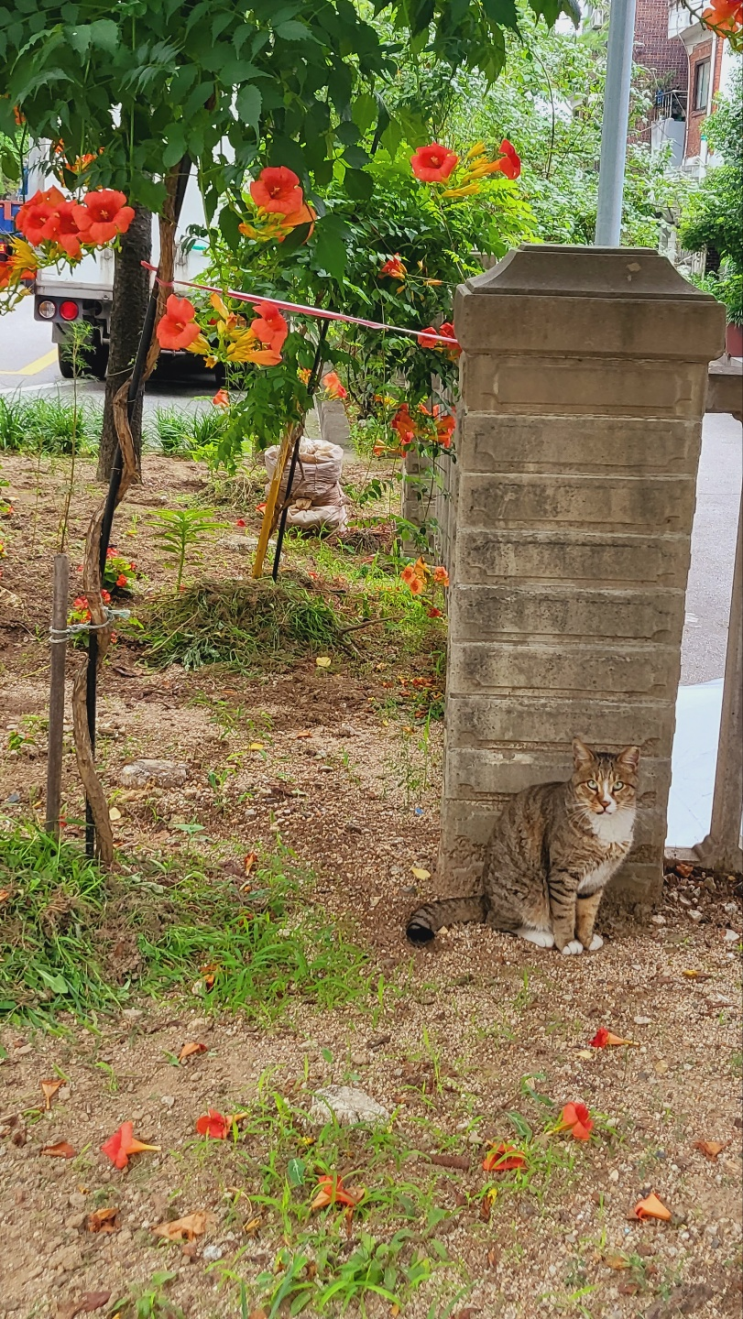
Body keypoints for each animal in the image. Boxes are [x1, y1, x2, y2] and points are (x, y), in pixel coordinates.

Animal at [406, 738, 638, 954]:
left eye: (618, 786)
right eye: (592, 784)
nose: (605, 803)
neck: (608, 826)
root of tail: (486, 899)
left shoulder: (596, 880)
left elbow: (587, 913)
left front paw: (586, 940)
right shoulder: (563, 875)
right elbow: (564, 914)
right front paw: (567, 943)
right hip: (526, 893)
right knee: (497, 921)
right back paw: (543, 936)